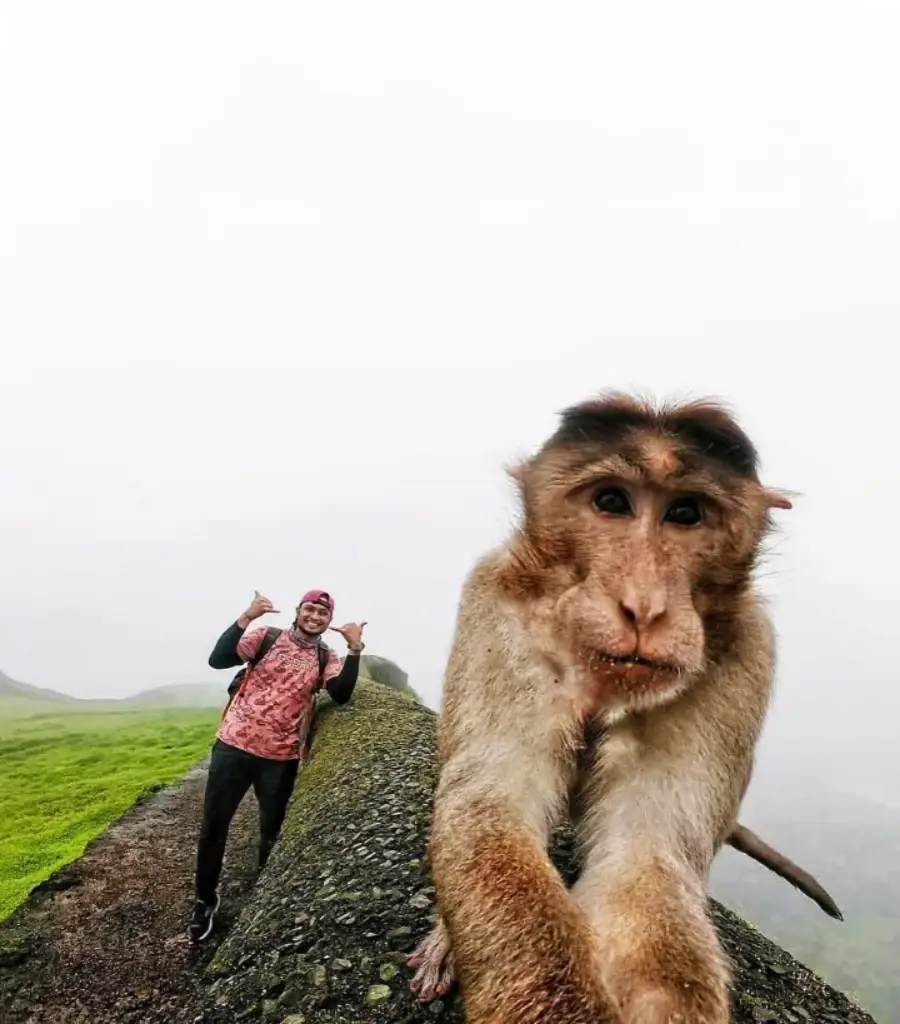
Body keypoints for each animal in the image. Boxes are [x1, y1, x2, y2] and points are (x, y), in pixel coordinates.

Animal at [412, 392, 837, 1024]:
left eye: (686, 513)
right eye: (611, 501)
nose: (643, 607)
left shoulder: (745, 656)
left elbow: (645, 856)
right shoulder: (497, 611)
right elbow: (489, 804)